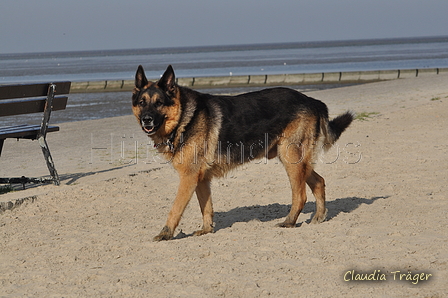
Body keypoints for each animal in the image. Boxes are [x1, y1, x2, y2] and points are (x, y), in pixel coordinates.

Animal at [133, 64, 354, 240]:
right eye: (142, 102)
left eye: (159, 103)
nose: (146, 120)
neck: (183, 118)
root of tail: (311, 100)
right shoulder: (201, 180)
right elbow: (206, 207)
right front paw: (206, 230)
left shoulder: (188, 178)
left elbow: (175, 209)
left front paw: (165, 233)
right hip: (298, 162)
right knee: (319, 182)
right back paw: (318, 217)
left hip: (291, 159)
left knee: (300, 195)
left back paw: (289, 222)